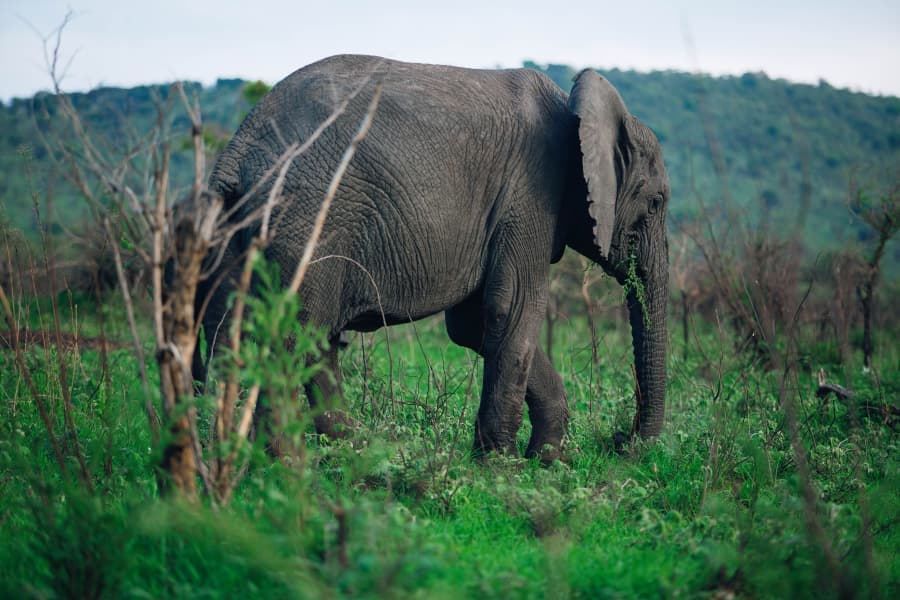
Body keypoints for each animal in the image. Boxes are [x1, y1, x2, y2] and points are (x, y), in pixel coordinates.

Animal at [196, 54, 670, 461]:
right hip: (307, 216)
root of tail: (235, 150)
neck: (580, 114)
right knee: (296, 336)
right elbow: (513, 307)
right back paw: (291, 464)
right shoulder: (530, 192)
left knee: (265, 332)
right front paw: (503, 469)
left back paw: (348, 454)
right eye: (656, 203)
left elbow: (473, 325)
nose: (622, 442)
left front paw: (549, 460)